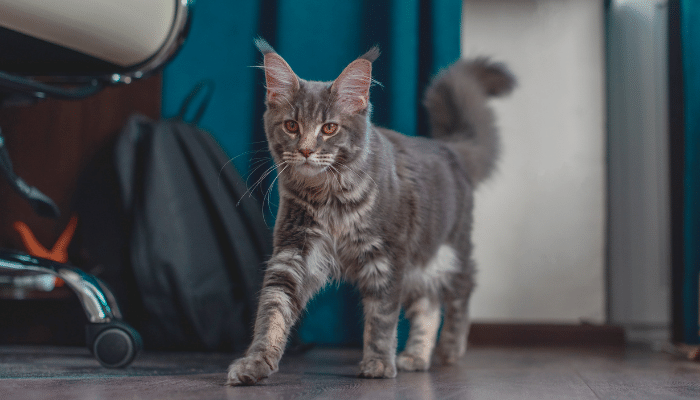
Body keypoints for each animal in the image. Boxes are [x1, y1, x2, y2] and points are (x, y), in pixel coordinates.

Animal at [227, 39, 516, 386]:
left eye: (329, 128)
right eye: (291, 126)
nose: (306, 150)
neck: (329, 198)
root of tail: (450, 148)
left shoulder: (387, 257)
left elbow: (381, 317)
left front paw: (377, 363)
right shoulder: (294, 253)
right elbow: (272, 312)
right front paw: (255, 363)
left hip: (447, 251)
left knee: (462, 289)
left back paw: (450, 348)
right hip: (419, 267)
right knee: (429, 306)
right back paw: (416, 356)